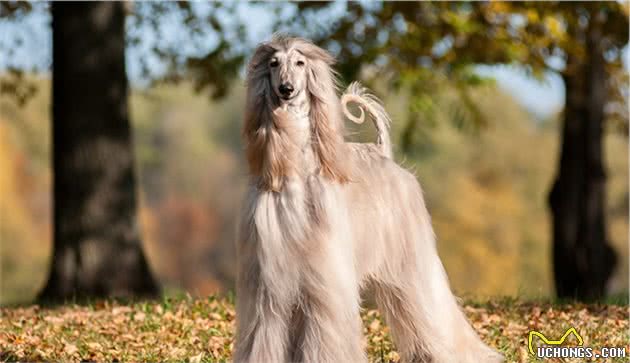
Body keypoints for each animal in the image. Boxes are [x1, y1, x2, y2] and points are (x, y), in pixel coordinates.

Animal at [232, 34, 504, 363]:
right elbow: (265, 334)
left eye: (300, 63)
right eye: (273, 64)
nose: (286, 89)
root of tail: (381, 152)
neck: (294, 170)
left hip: (411, 258)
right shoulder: (270, 282)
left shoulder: (326, 277)